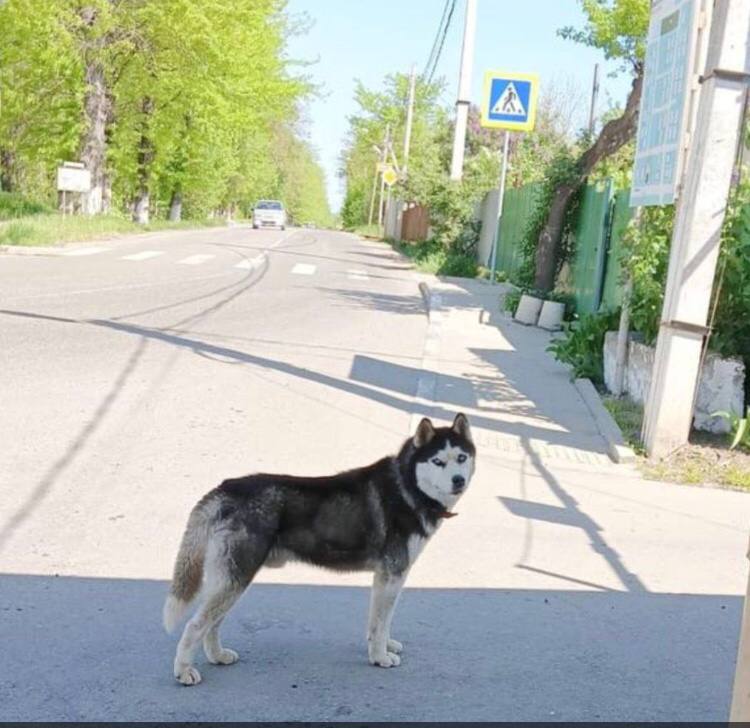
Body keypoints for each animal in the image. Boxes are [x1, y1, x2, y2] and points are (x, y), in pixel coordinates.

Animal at [164, 412, 476, 684]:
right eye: (438, 461)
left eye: (461, 458)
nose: (458, 480)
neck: (408, 487)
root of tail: (226, 489)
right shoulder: (392, 574)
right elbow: (381, 621)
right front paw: (380, 657)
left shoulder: (385, 578)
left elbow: (379, 622)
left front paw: (382, 646)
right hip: (236, 578)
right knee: (195, 625)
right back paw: (184, 671)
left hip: (233, 579)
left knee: (213, 623)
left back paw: (217, 655)